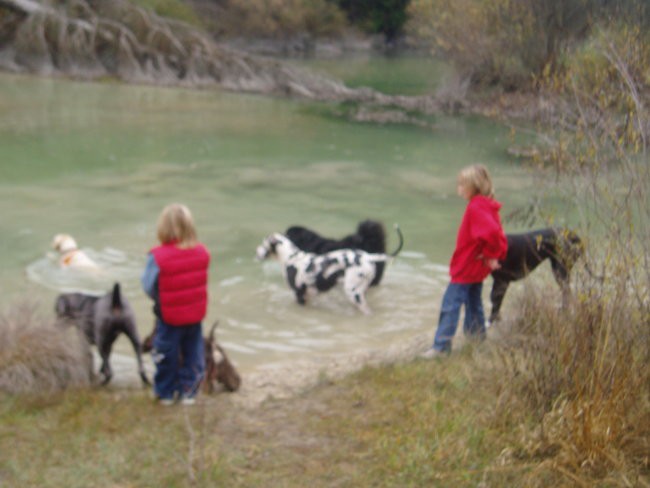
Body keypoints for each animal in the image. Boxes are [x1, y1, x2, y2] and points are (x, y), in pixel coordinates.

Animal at [254, 226, 400, 314]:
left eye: (263, 243)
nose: (256, 251)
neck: (292, 258)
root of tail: (368, 256)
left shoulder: (299, 295)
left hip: (354, 293)